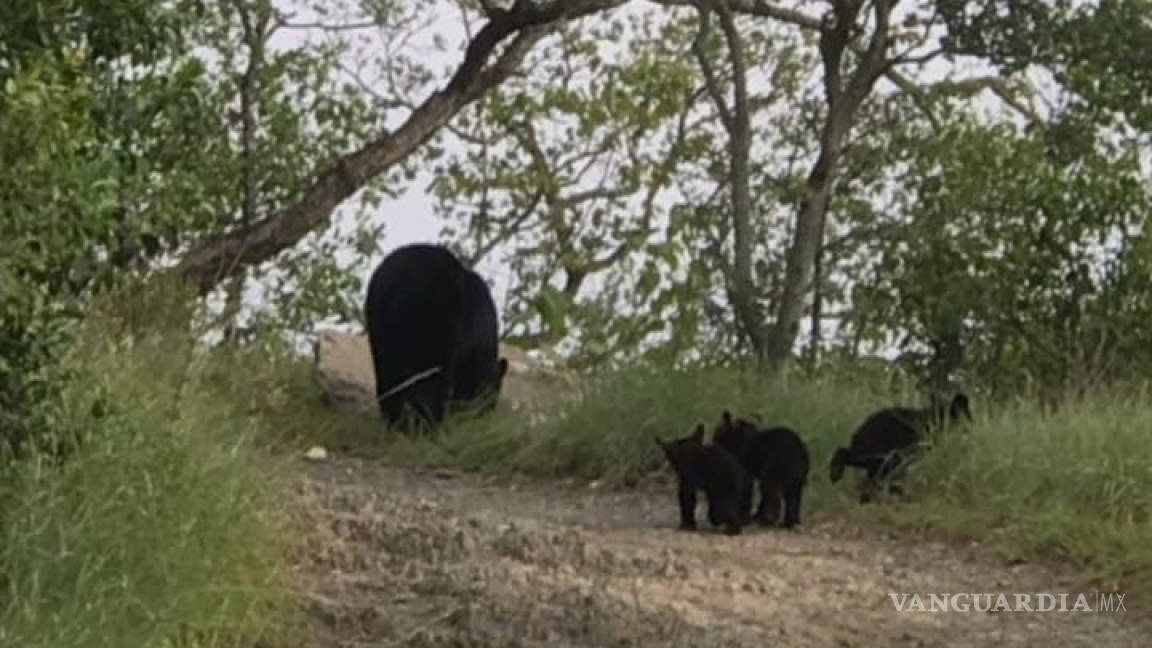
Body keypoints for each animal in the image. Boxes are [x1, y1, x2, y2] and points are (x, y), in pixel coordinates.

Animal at [359, 244, 504, 431]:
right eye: (490, 396)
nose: (483, 417)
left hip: (380, 327)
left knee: (389, 376)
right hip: (433, 326)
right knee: (431, 381)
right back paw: (428, 424)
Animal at [829, 387, 972, 500]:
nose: (971, 425)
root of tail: (859, 430)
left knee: (873, 471)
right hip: (880, 447)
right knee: (860, 458)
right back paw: (836, 475)